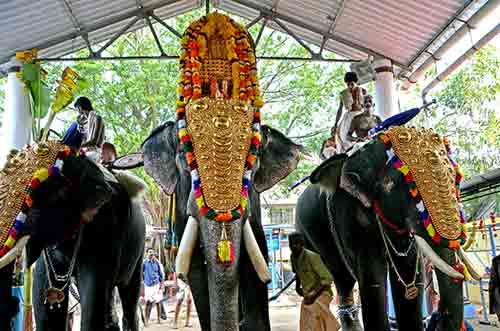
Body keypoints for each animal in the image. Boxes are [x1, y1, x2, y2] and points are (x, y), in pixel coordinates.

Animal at [0, 143, 147, 331]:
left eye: (44, 193)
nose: (13, 305)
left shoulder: (107, 225)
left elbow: (93, 294)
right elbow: (45, 302)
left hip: (139, 248)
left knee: (129, 294)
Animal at [294, 127, 482, 331]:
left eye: (457, 179)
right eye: (390, 183)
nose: (436, 318)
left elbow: (409, 270)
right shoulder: (350, 218)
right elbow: (373, 278)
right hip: (314, 237)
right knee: (342, 278)